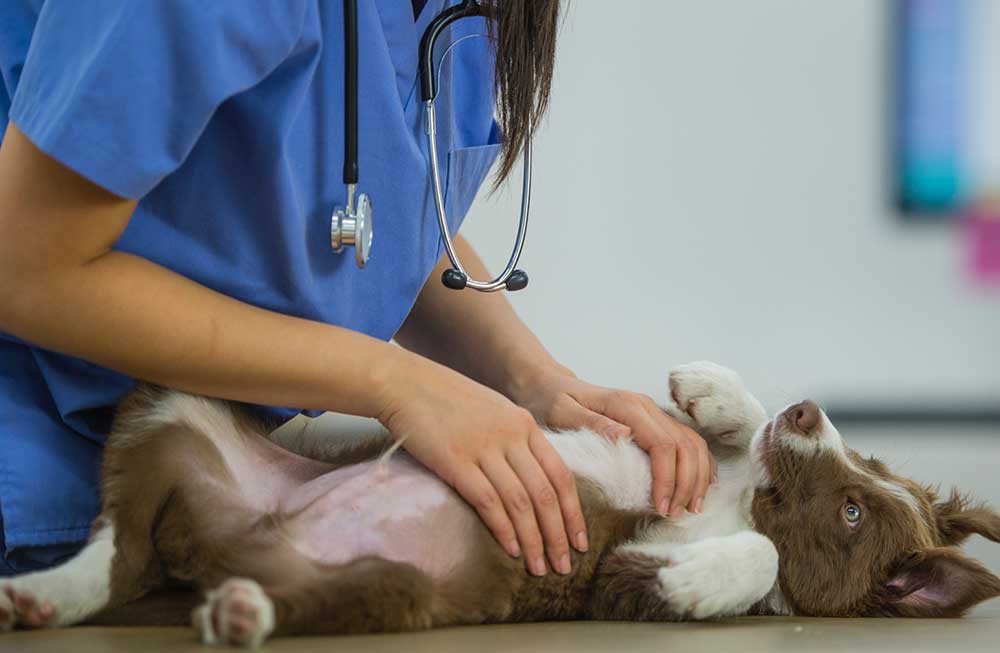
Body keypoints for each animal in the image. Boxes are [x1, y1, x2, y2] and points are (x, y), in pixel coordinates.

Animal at [1, 364, 1000, 644]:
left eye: (853, 514)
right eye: (865, 463)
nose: (809, 410)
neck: (737, 502)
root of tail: (213, 553)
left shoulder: (613, 580)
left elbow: (753, 559)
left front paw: (702, 581)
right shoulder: (688, 464)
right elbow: (714, 430)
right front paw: (710, 387)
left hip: (384, 587)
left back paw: (239, 613)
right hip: (178, 406)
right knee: (114, 547)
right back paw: (41, 592)